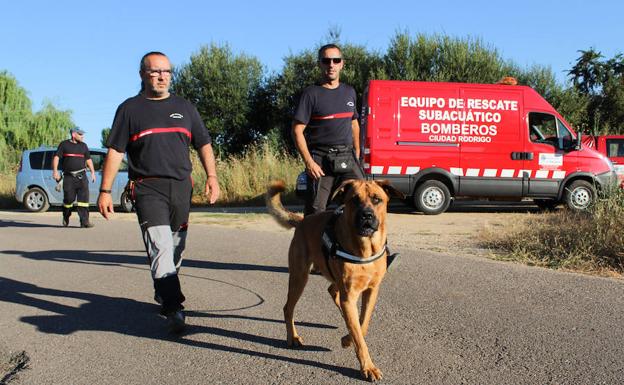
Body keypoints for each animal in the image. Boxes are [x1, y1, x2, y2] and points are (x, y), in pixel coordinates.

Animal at [264, 178, 404, 380]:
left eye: (377, 199)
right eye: (354, 200)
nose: (366, 216)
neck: (365, 250)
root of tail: (303, 221)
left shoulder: (371, 291)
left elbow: (363, 324)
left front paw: (348, 338)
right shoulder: (349, 294)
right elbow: (359, 335)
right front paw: (367, 366)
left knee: (332, 291)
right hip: (299, 277)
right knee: (288, 308)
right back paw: (293, 337)